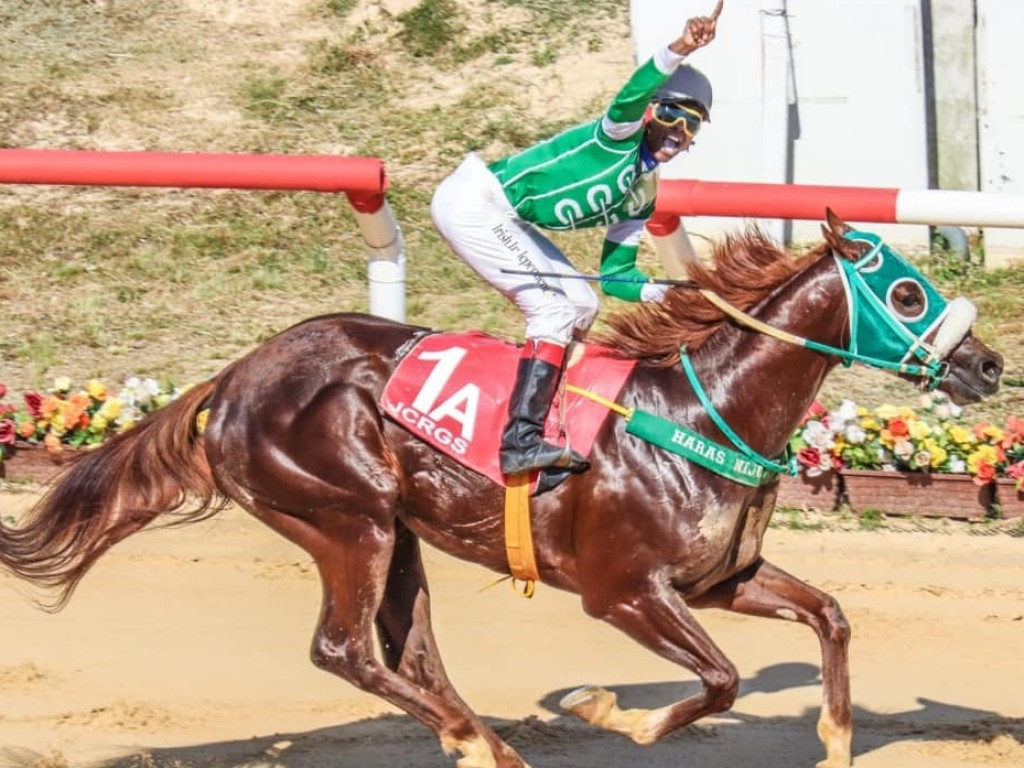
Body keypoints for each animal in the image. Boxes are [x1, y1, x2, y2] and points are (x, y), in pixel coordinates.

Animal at [0, 211, 999, 768]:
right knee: (343, 650)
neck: (704, 412)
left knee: (409, 650)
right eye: (907, 295)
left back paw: (478, 741)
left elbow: (830, 615)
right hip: (345, 517)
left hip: (397, 533)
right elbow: (719, 679)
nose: (987, 365)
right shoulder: (622, 591)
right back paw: (483, 745)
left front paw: (835, 744)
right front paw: (611, 713)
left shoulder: (721, 578)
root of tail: (235, 377)